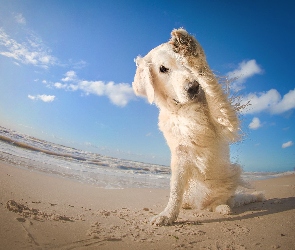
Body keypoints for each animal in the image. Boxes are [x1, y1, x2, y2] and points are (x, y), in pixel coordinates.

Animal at [132, 28, 264, 226]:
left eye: (182, 61)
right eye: (163, 69)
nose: (193, 88)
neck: (184, 108)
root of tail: (200, 204)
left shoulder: (224, 120)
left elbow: (210, 86)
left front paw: (191, 49)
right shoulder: (180, 153)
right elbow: (175, 190)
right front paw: (167, 215)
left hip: (232, 173)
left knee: (222, 201)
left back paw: (223, 208)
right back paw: (188, 205)